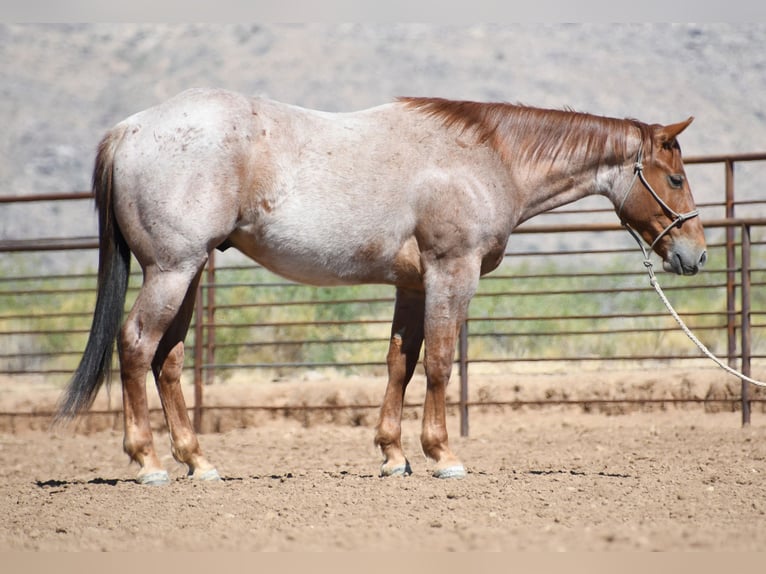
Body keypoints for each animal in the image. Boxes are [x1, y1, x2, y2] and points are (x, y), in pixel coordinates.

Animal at [55, 88, 707, 484]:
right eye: (675, 178)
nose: (695, 254)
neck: (486, 159)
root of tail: (130, 130)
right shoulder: (451, 271)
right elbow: (440, 361)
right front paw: (442, 454)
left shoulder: (412, 286)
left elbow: (401, 361)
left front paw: (394, 455)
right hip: (172, 269)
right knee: (136, 346)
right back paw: (148, 462)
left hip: (187, 272)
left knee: (167, 358)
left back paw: (199, 462)